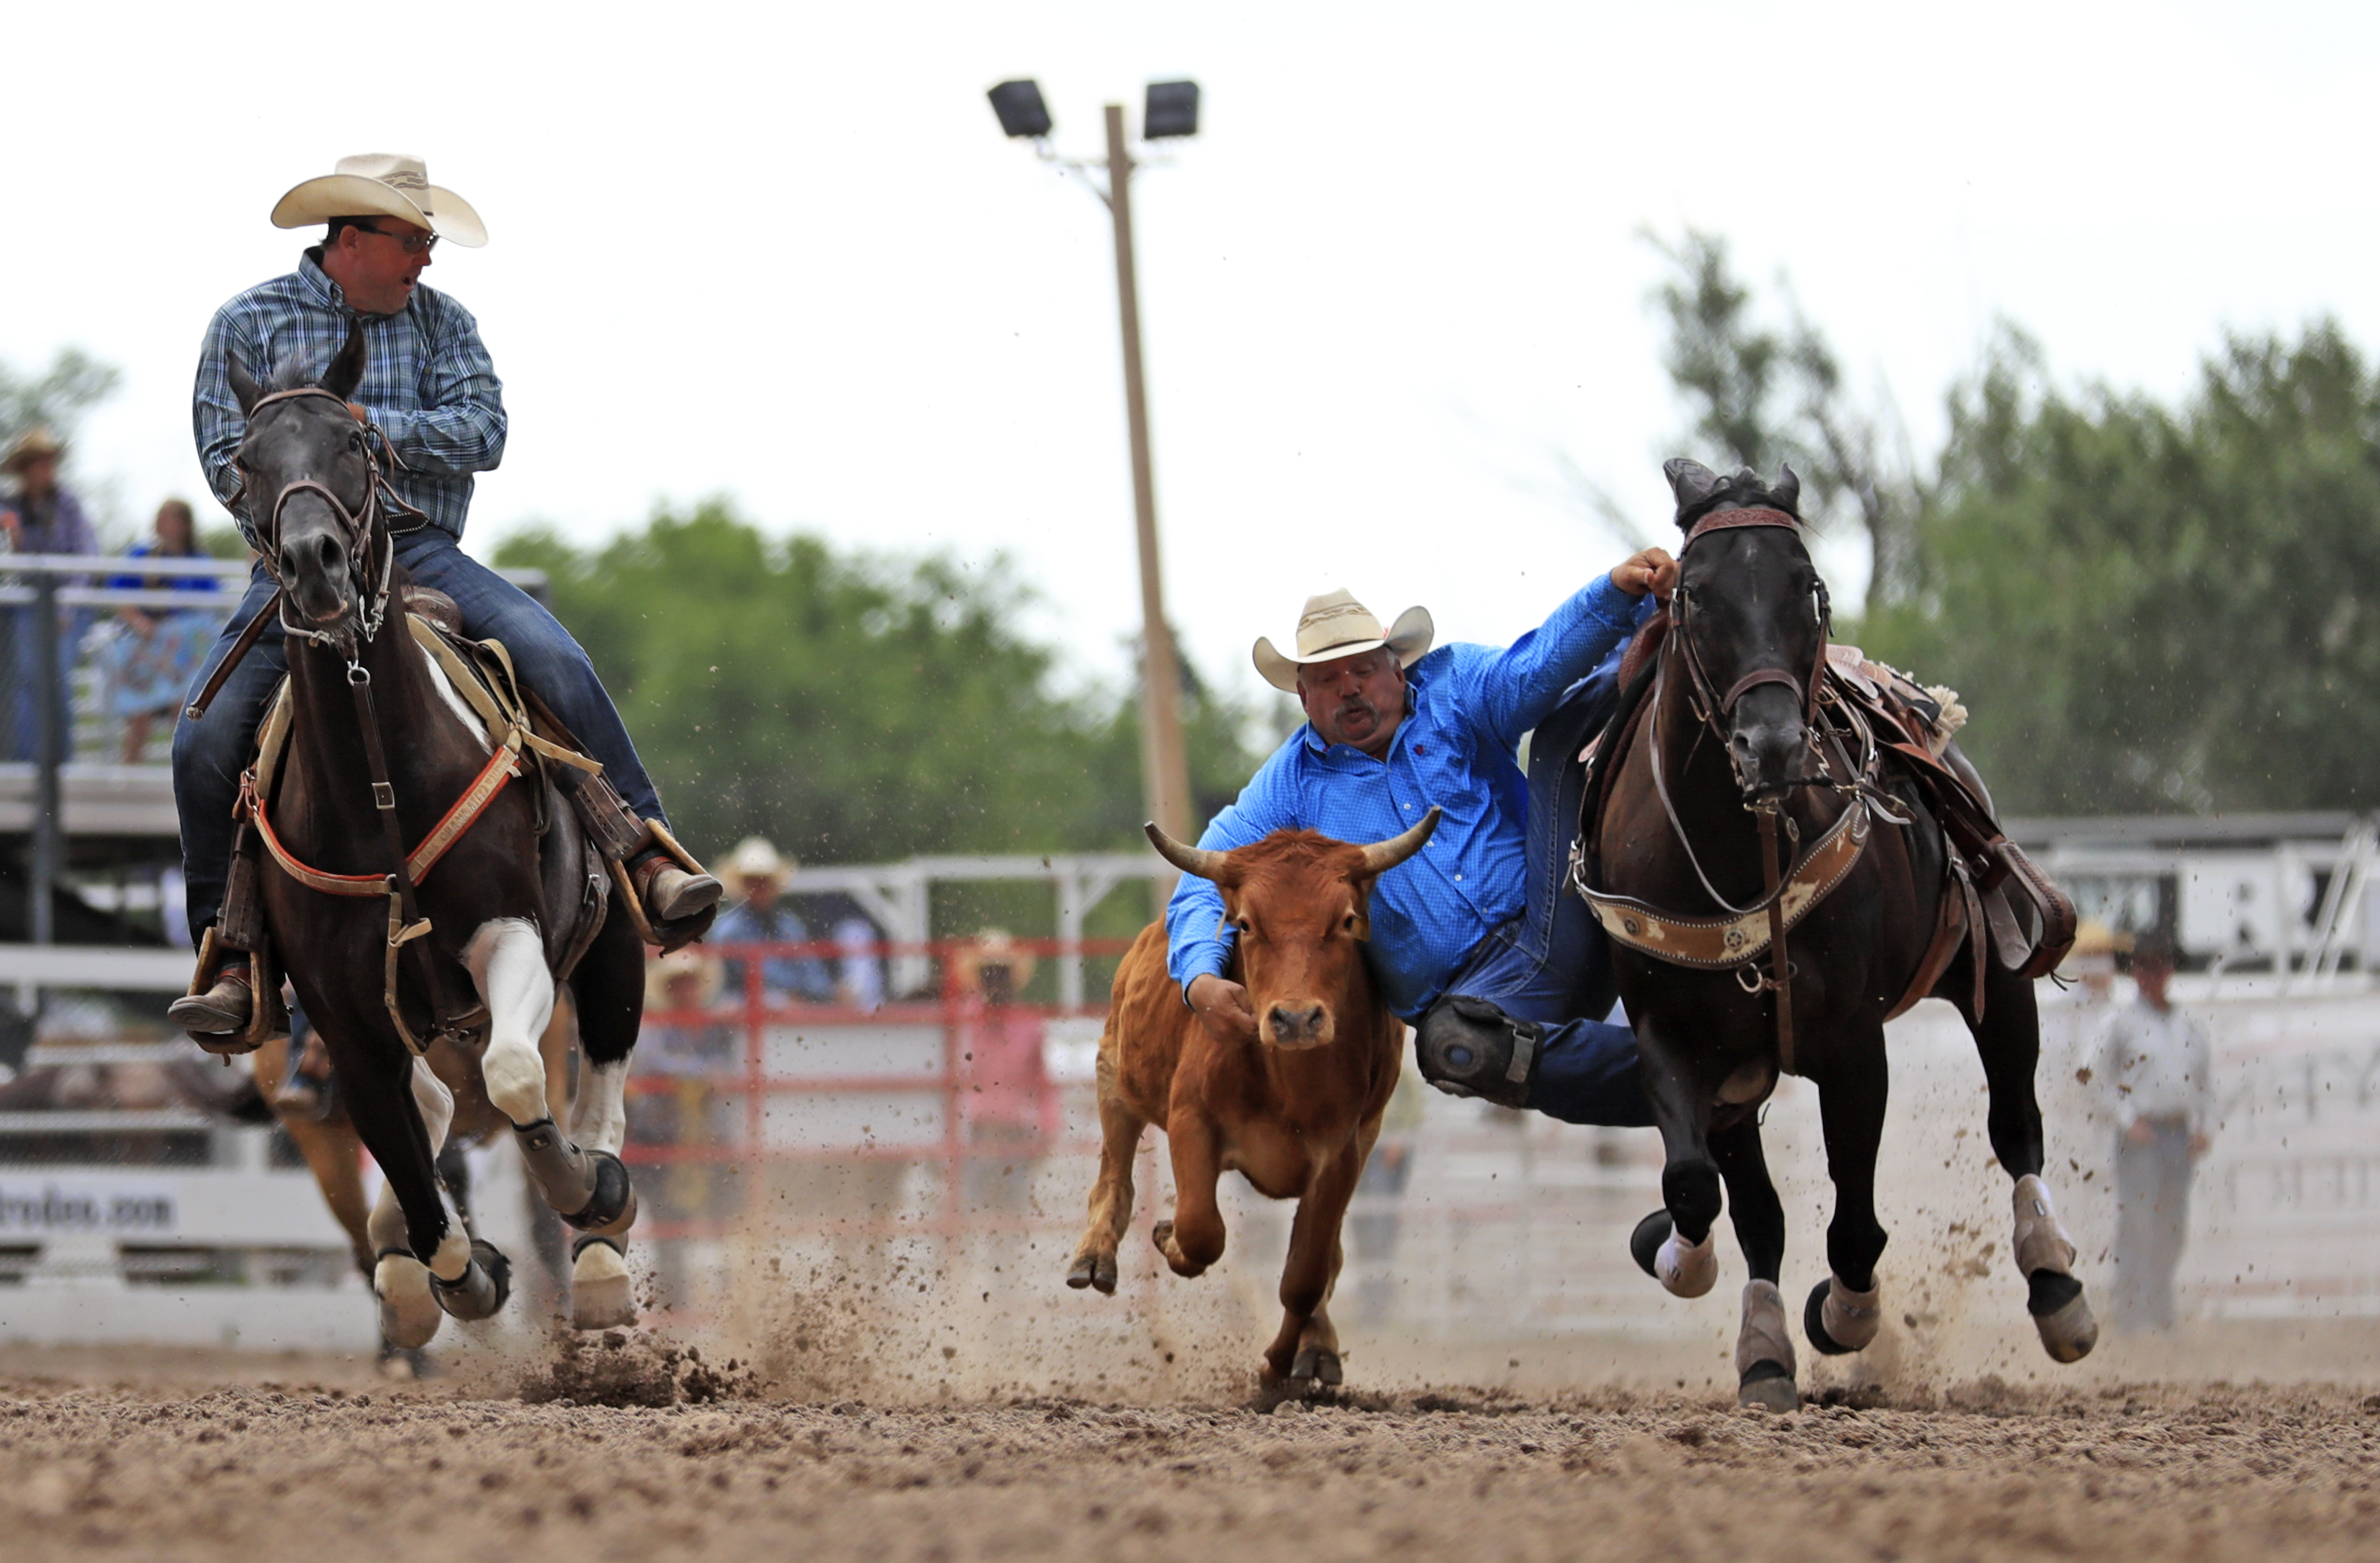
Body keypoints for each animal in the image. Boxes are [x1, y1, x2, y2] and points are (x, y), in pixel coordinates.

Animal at [223, 325, 652, 1341]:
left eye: (354, 440)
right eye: (244, 461)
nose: (314, 562)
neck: (380, 789)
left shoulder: (510, 935)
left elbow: (520, 1078)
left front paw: (580, 1187)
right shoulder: (345, 1022)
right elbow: (415, 1171)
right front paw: (455, 1273)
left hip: (611, 932)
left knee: (598, 1063)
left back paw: (602, 1246)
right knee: (428, 1112)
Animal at [1590, 456, 2094, 1408]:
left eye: (1807, 584)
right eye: (1697, 593)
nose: (1774, 744)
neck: (1738, 851)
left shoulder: (1854, 1045)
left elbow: (1855, 1221)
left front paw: (1843, 1313)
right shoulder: (1677, 1041)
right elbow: (1702, 1189)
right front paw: (1694, 1274)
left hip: (1994, 974)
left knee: (2017, 1124)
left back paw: (2056, 1286)